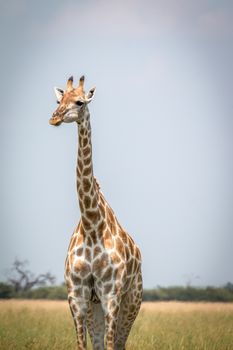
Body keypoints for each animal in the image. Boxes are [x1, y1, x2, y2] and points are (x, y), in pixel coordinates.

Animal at [49, 75, 142, 348]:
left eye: (79, 102)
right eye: (58, 101)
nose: (54, 118)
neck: (91, 223)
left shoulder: (111, 295)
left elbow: (111, 345)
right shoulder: (77, 297)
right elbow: (83, 344)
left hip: (131, 300)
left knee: (120, 342)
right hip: (95, 307)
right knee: (100, 342)